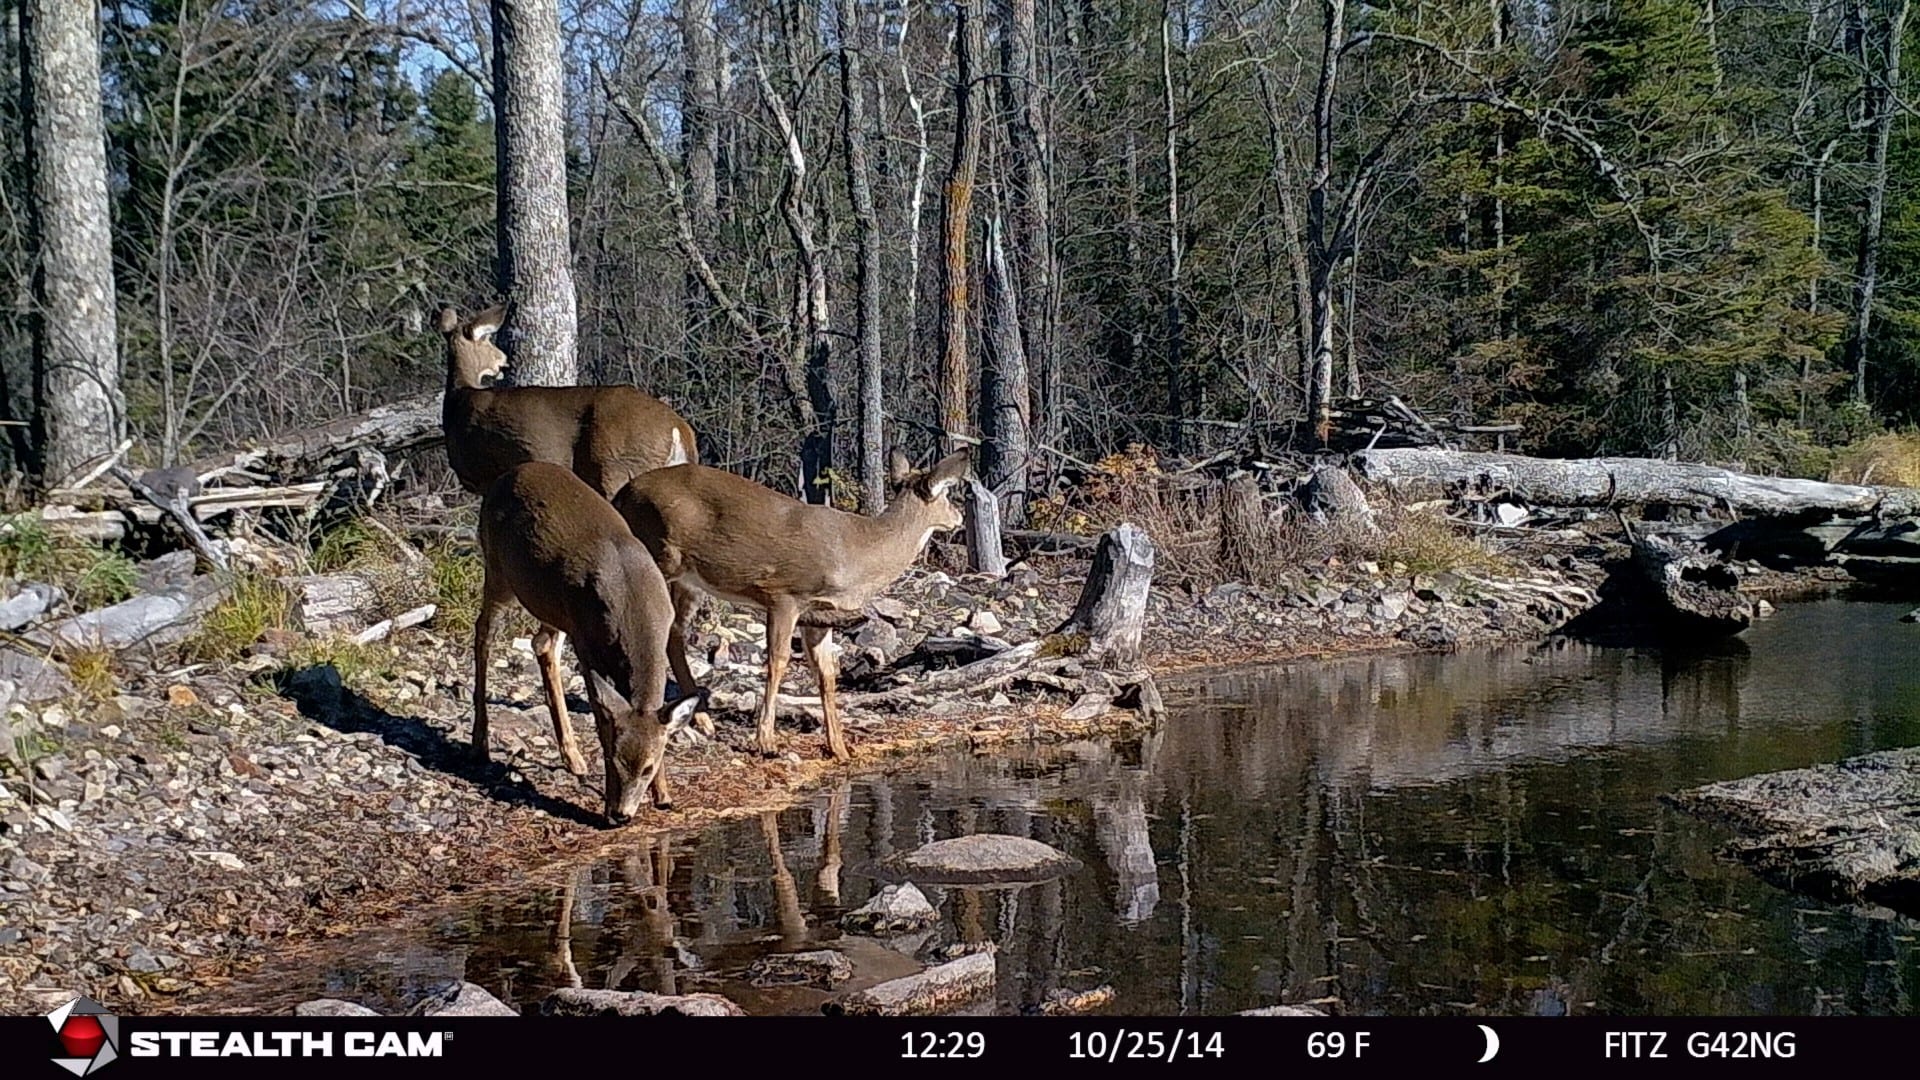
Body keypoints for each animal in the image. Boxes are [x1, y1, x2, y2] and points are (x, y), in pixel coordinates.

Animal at [440, 305, 714, 750]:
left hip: (617, 472)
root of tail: (679, 431)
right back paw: (698, 714)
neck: (460, 402)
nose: (503, 362)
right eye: (490, 342)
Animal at [474, 460, 700, 825]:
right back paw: (479, 741)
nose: (622, 814)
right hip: (498, 569)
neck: (634, 604)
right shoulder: (586, 642)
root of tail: (510, 474)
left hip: (552, 605)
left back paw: (573, 758)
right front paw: (607, 807)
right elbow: (600, 720)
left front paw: (664, 796)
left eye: (648, 767)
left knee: (541, 644)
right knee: (484, 632)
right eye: (612, 760)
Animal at [613, 448, 971, 763]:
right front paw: (766, 742)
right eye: (948, 494)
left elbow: (827, 674)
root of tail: (620, 494)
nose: (960, 517)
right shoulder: (784, 595)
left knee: (674, 631)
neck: (856, 554)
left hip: (688, 578)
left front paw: (840, 749)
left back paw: (702, 720)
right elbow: (778, 662)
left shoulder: (818, 615)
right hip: (659, 554)